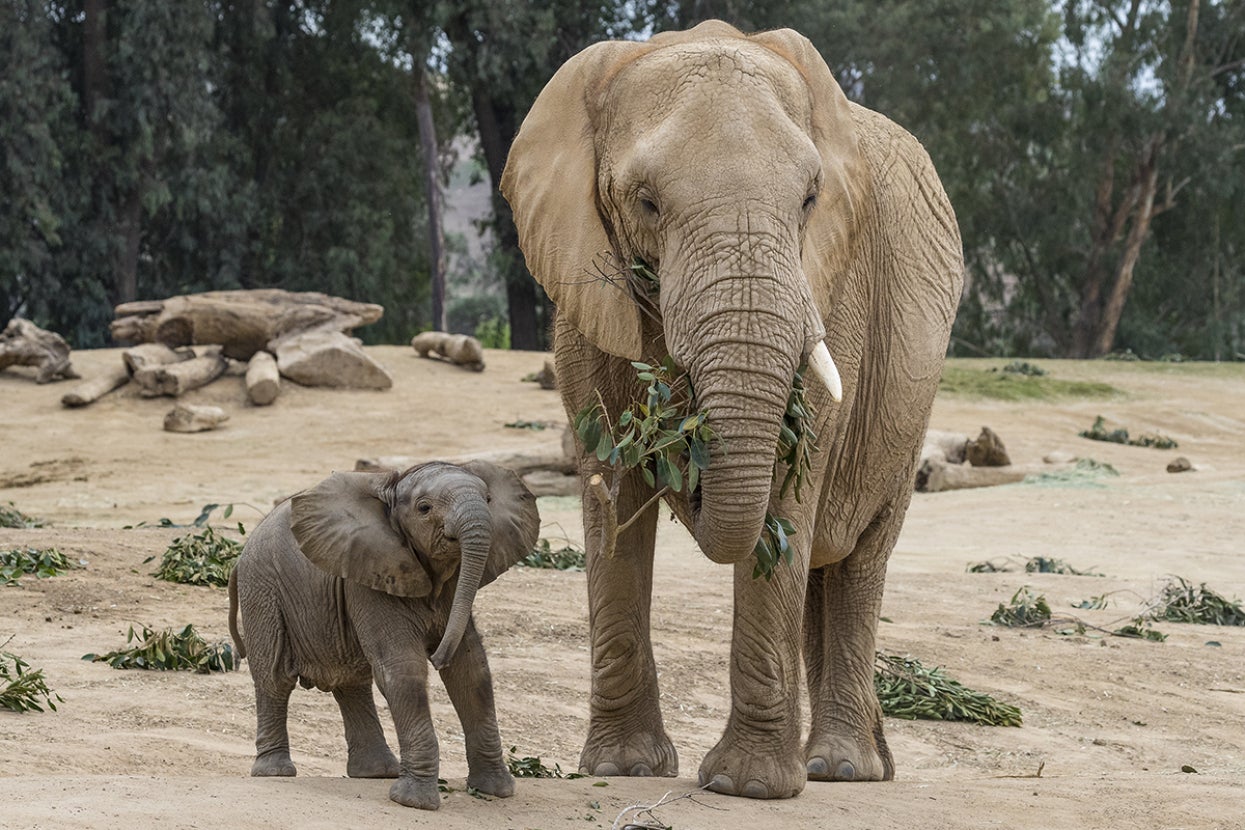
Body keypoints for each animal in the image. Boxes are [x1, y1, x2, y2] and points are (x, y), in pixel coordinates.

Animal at [227, 460, 540, 809]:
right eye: (424, 508)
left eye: (488, 500)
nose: (437, 656)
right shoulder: (371, 576)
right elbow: (403, 669)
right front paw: (415, 802)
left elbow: (471, 670)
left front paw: (495, 791)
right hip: (262, 590)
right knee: (275, 677)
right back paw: (275, 772)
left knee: (351, 682)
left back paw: (376, 772)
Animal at [500, 21, 963, 799]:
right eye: (646, 202)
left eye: (809, 198)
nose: (689, 467)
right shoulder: (584, 287)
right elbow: (613, 491)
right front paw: (622, 769)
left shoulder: (833, 283)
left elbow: (791, 484)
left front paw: (747, 787)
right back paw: (837, 763)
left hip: (909, 403)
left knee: (857, 557)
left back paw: (842, 768)